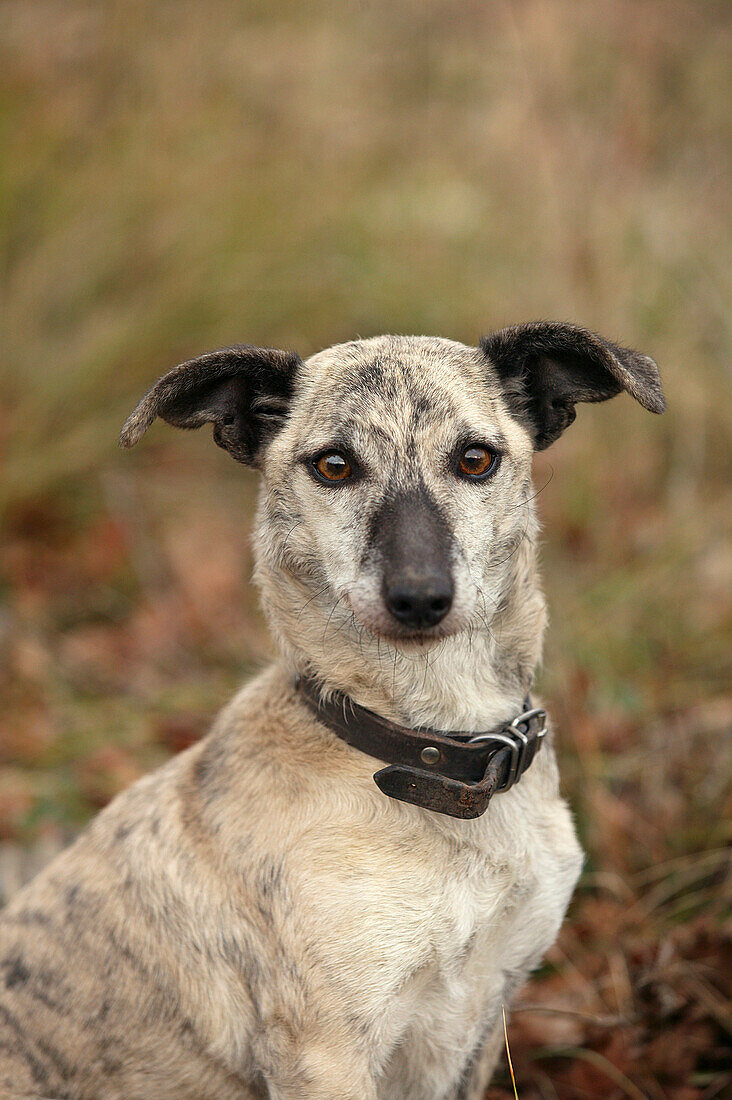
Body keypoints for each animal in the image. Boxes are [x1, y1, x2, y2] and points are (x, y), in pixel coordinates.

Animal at [0, 323, 660, 1100]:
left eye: (475, 459)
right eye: (334, 466)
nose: (419, 597)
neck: (426, 750)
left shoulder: (484, 1006)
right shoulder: (326, 1050)